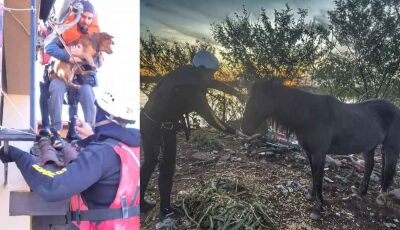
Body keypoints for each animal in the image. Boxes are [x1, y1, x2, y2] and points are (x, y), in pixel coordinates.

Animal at [241, 80, 400, 220]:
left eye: (258, 100)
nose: (244, 128)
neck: (310, 115)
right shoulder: (309, 153)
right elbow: (313, 175)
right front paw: (312, 196)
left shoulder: (319, 154)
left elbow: (319, 178)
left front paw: (318, 208)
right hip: (369, 146)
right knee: (369, 166)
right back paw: (361, 192)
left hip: (391, 146)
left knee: (388, 169)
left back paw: (381, 198)